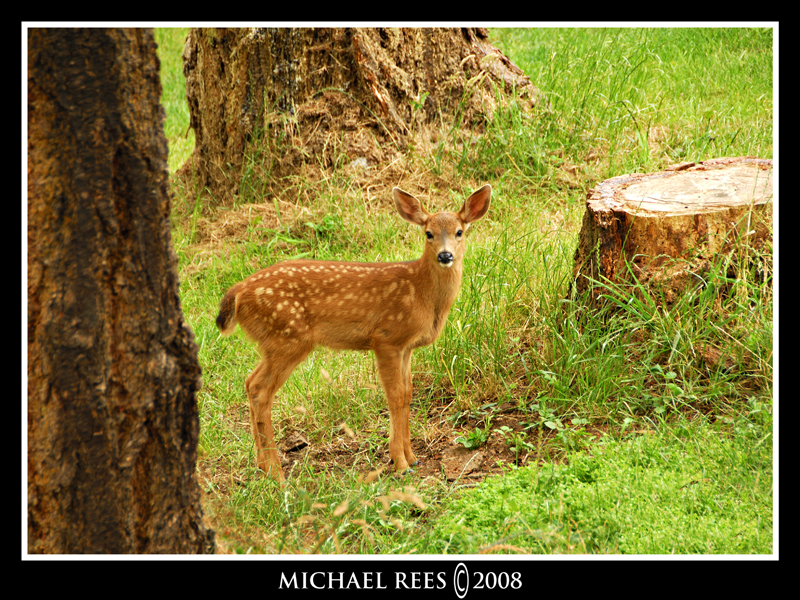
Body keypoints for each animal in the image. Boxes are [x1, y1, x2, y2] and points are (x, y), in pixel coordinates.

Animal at [219, 185, 494, 480]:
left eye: (459, 232)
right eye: (428, 233)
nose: (445, 255)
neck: (421, 292)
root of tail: (238, 293)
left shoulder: (406, 347)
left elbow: (408, 394)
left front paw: (412, 457)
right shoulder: (386, 337)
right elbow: (395, 395)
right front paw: (400, 463)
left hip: (276, 342)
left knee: (250, 383)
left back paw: (262, 466)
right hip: (287, 336)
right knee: (260, 389)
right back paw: (276, 473)